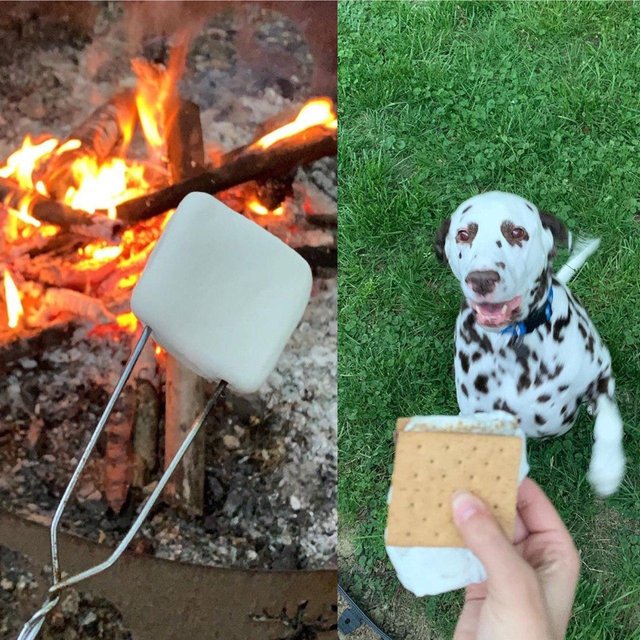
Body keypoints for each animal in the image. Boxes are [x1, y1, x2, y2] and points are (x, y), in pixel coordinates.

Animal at [436, 190, 624, 496]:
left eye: (516, 232)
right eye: (463, 234)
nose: (482, 279)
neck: (517, 342)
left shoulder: (600, 372)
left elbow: (610, 422)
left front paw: (608, 468)